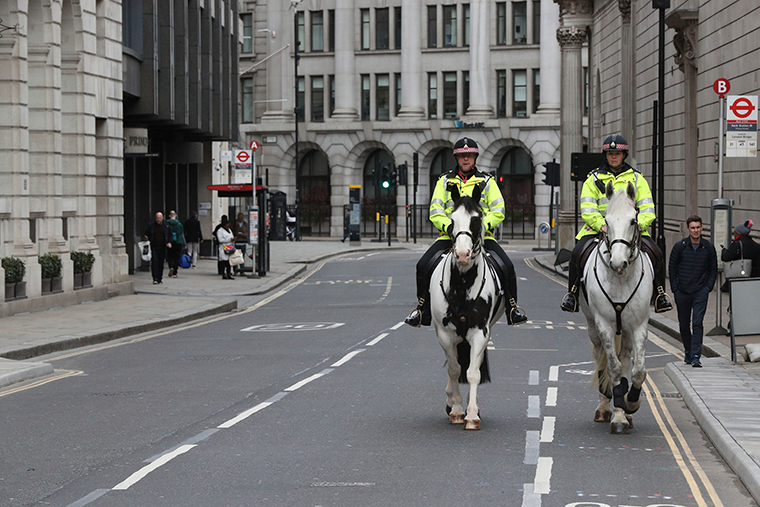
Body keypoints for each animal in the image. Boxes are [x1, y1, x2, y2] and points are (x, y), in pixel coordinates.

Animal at [428, 187, 504, 428]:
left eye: (477, 219)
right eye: (452, 220)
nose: (462, 255)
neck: (462, 285)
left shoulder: (480, 332)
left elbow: (472, 373)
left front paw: (471, 414)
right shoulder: (445, 334)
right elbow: (455, 369)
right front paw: (457, 409)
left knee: (474, 365)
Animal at [580, 183, 652, 436]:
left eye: (633, 220)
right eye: (606, 221)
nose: (618, 263)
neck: (621, 278)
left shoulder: (639, 325)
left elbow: (638, 370)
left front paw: (630, 404)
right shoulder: (603, 324)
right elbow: (613, 368)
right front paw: (619, 413)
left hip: (627, 330)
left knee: (626, 357)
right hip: (593, 327)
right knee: (601, 360)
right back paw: (605, 408)